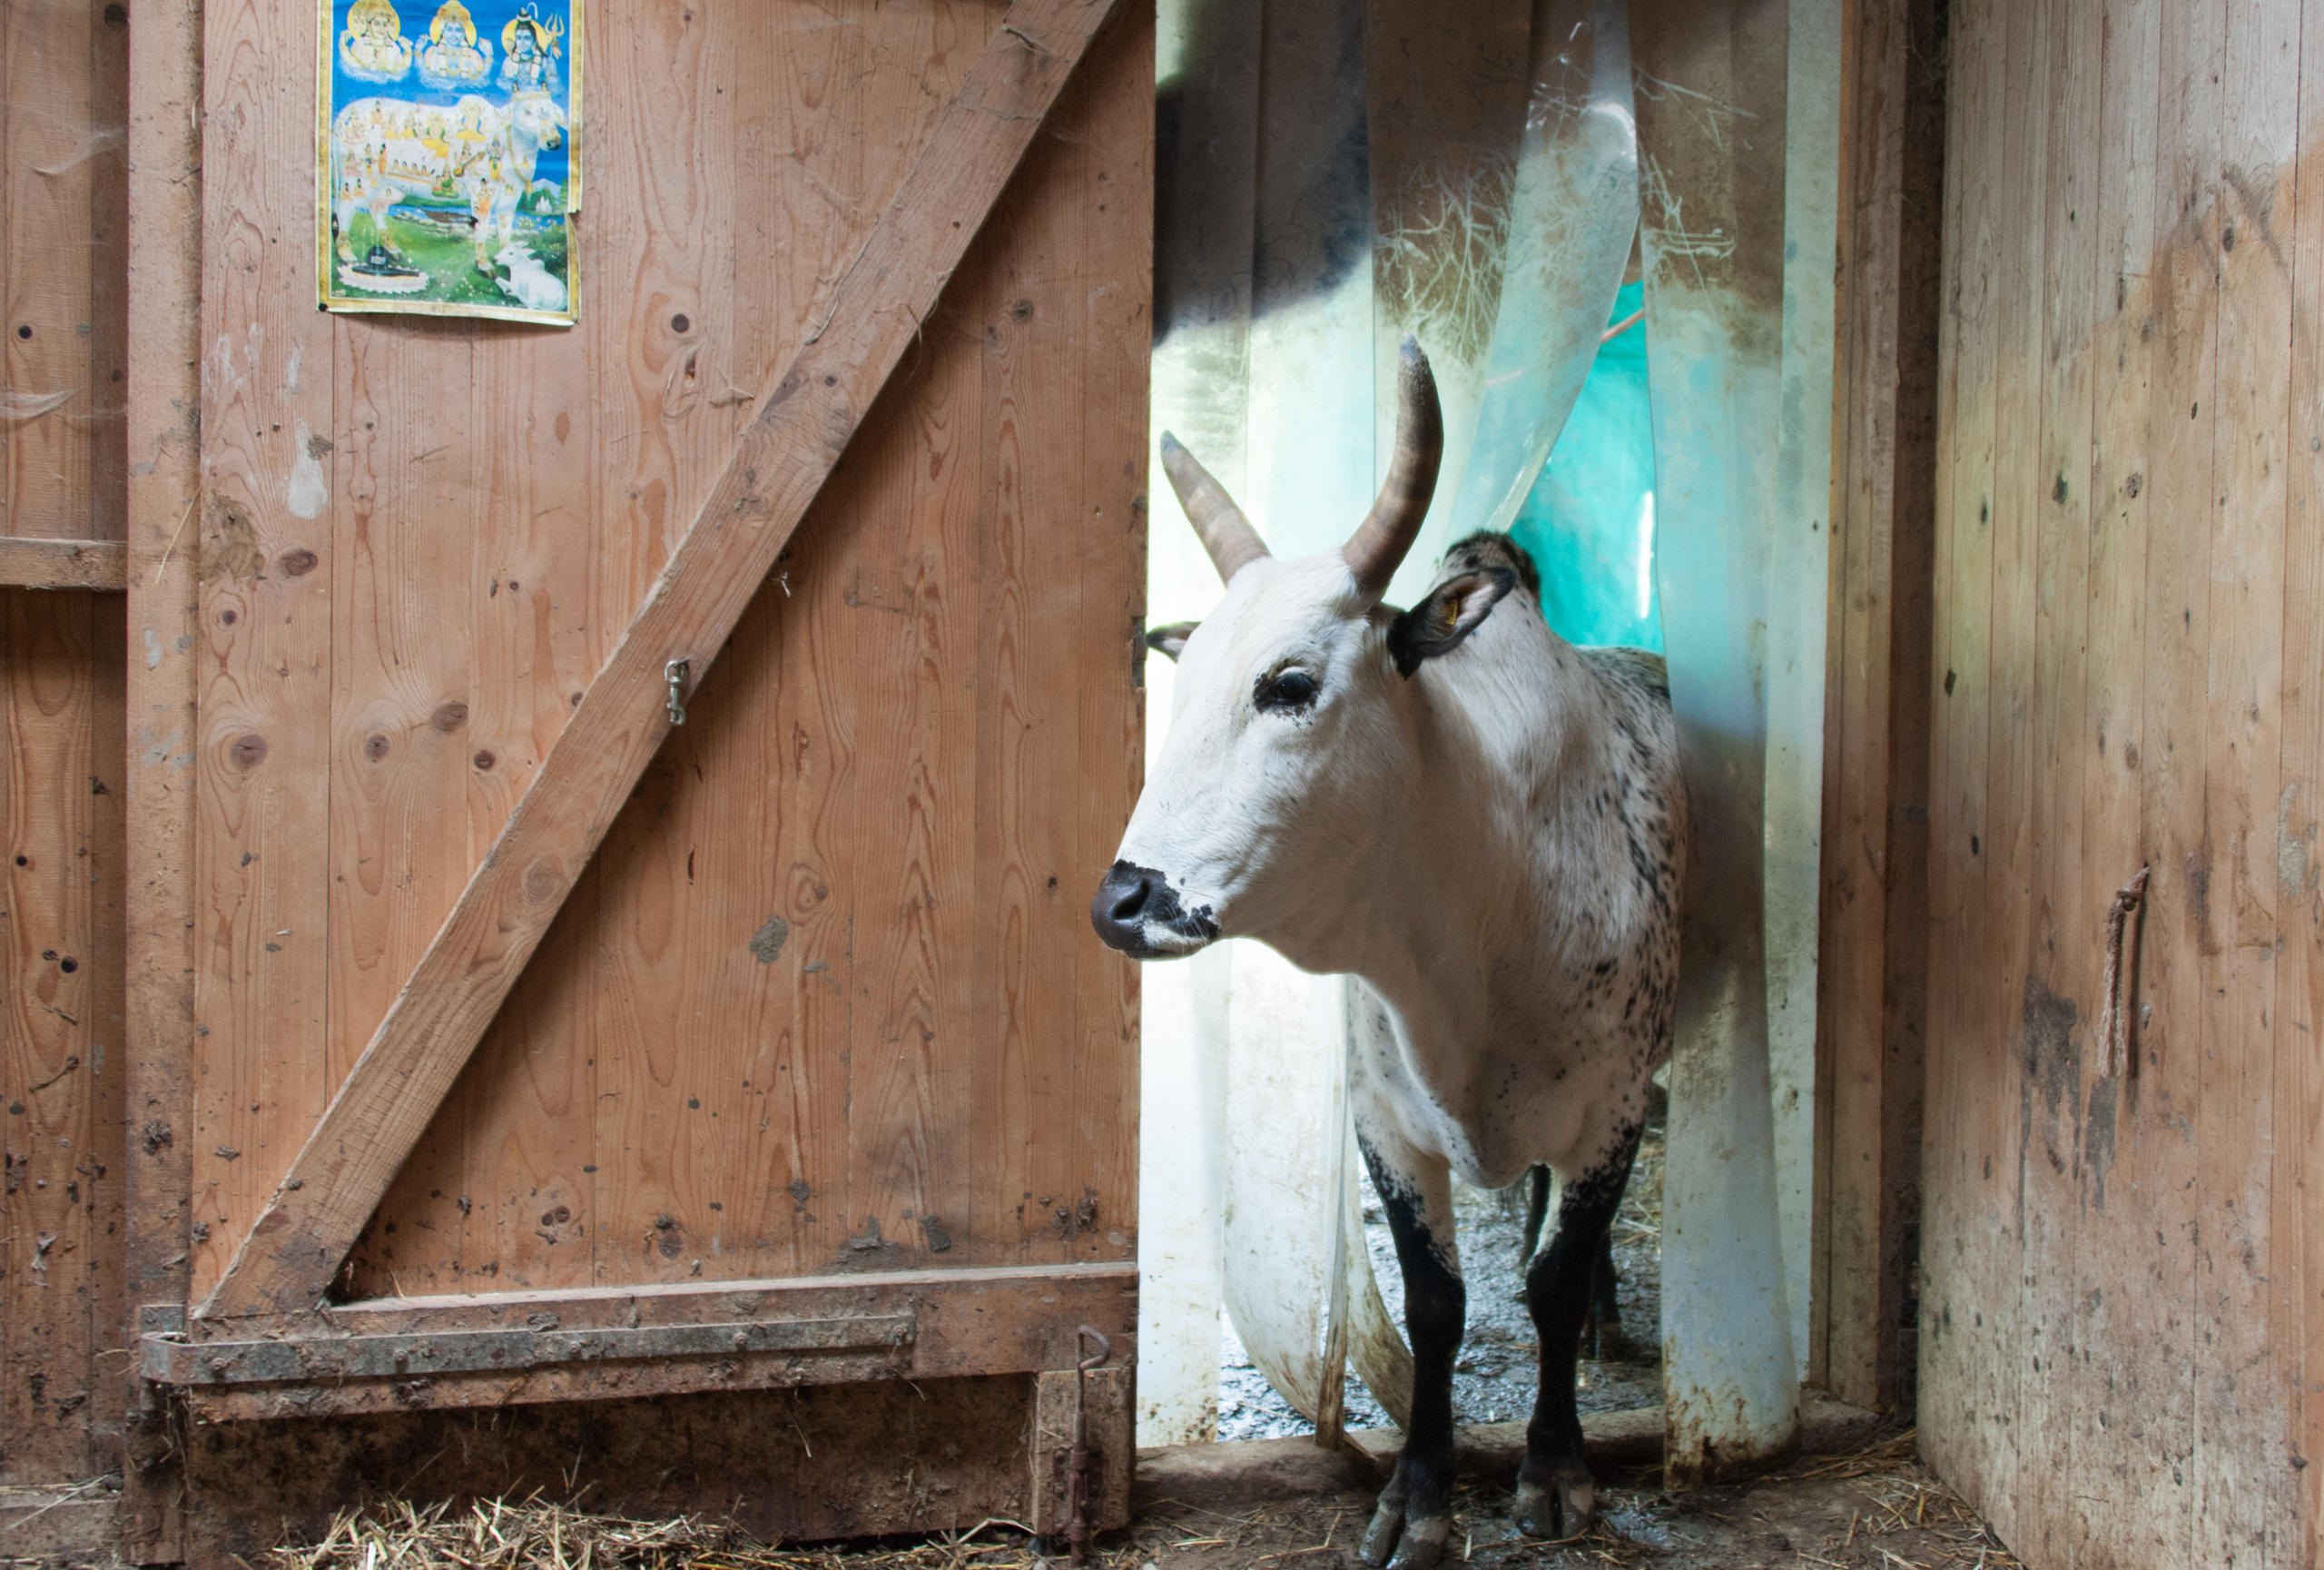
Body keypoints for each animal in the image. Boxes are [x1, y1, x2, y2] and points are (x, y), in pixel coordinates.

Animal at [1088, 337, 1691, 1563]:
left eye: (1289, 683)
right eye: (1185, 685)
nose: (1125, 899)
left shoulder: (1611, 1107)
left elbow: (1552, 1281)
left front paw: (1555, 1466)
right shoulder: (1384, 1120)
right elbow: (1436, 1305)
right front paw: (1418, 1492)